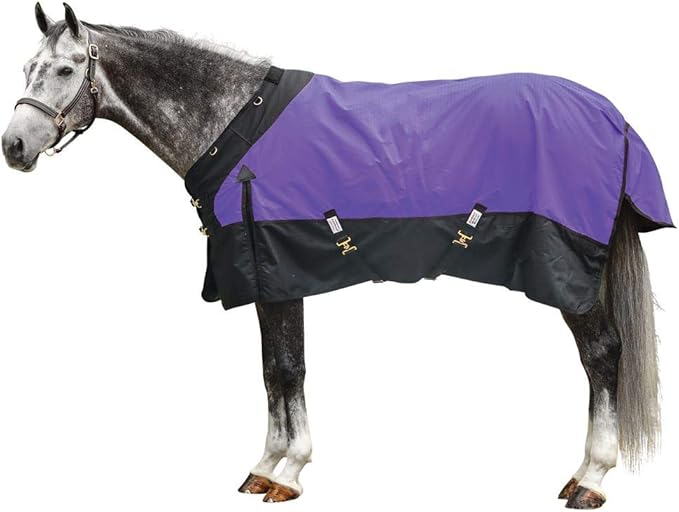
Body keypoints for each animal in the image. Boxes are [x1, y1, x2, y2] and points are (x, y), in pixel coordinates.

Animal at [2, 4, 670, 508]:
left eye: (64, 69)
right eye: (28, 67)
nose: (13, 146)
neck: (234, 123)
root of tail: (612, 116)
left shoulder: (278, 271)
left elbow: (288, 369)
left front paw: (289, 472)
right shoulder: (265, 278)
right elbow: (272, 370)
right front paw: (264, 466)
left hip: (569, 271)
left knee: (602, 354)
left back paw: (589, 479)